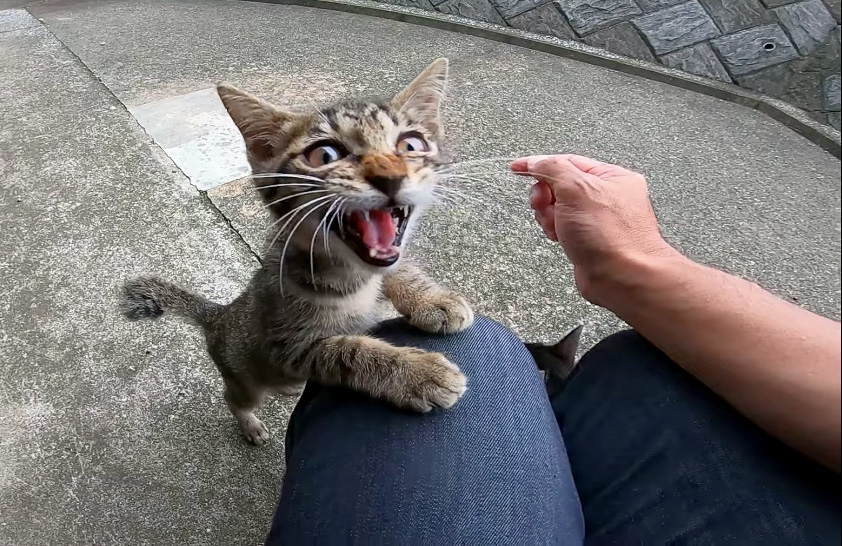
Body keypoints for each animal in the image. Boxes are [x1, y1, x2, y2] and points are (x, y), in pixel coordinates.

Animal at [120, 58, 472, 442]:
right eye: (324, 155)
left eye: (411, 145)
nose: (389, 176)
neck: (355, 276)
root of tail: (220, 316)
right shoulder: (289, 349)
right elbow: (347, 351)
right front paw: (417, 373)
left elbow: (396, 268)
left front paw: (432, 300)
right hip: (246, 379)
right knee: (235, 398)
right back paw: (250, 424)